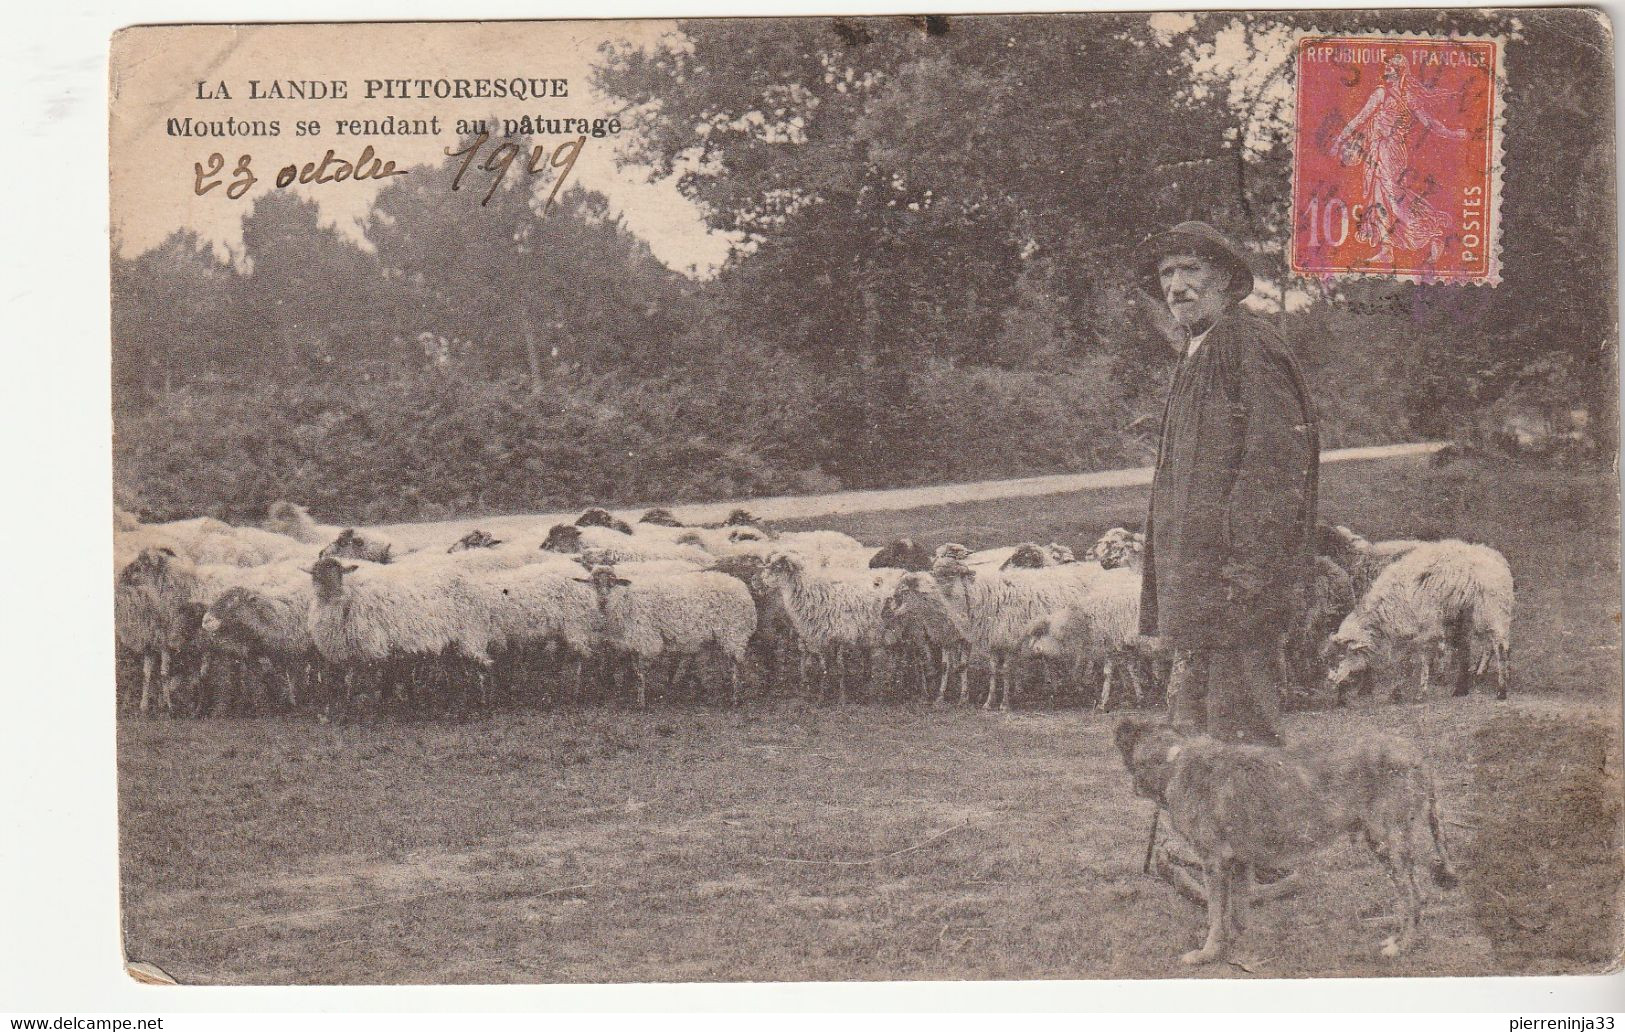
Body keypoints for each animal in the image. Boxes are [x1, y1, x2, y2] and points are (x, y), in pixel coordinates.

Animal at [575, 562, 757, 705]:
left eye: (612, 582)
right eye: (594, 583)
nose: (602, 600)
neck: (623, 598)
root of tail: (743, 589)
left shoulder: (645, 639)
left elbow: (640, 674)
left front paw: (641, 702)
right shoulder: (633, 641)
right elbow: (635, 670)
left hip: (734, 634)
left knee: (737, 665)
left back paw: (735, 698)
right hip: (713, 638)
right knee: (708, 666)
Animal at [757, 549, 910, 711]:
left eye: (777, 567)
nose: (759, 582)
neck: (814, 594)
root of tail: (903, 572)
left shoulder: (843, 635)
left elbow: (841, 668)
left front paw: (842, 700)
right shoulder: (822, 639)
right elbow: (824, 669)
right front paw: (821, 698)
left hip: (898, 627)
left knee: (899, 657)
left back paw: (896, 688)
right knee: (895, 656)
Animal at [1118, 718, 1462, 968]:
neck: (1174, 760)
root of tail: (1416, 753)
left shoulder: (1213, 863)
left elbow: (1215, 915)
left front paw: (1207, 953)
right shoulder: (1239, 861)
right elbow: (1237, 912)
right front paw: (1237, 946)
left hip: (1388, 842)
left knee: (1414, 897)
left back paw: (1402, 946)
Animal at [1326, 539, 1514, 702]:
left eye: (1342, 656)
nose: (1330, 680)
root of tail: (1498, 558)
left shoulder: (1426, 627)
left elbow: (1421, 657)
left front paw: (1418, 692)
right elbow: (1403, 658)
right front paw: (1397, 692)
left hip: (1491, 611)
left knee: (1499, 647)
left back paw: (1501, 690)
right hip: (1466, 616)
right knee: (1467, 649)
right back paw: (1462, 688)